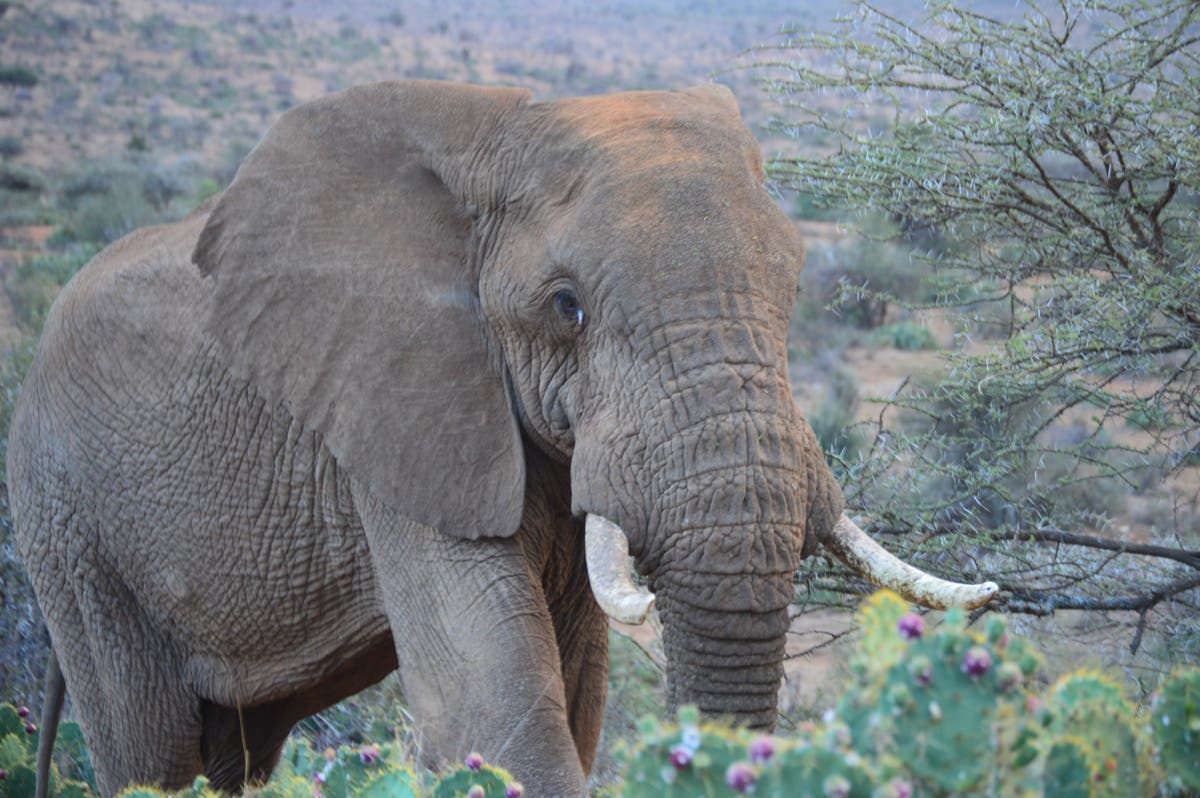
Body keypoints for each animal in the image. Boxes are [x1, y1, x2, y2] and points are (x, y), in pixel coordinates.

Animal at [9, 81, 993, 796]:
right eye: (567, 307)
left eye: (793, 286)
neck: (503, 127)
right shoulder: (399, 406)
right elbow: (488, 710)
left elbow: (575, 694)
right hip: (68, 526)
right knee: (151, 754)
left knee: (236, 749)